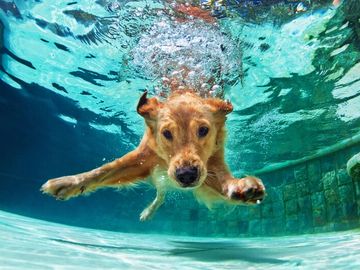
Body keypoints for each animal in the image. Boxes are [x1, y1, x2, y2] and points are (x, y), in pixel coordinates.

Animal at [40, 89, 266, 220]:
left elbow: (225, 181)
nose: (186, 175)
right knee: (161, 193)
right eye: (166, 133)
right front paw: (68, 183)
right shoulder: (142, 158)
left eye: (203, 130)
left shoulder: (211, 164)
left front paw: (243, 188)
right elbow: (104, 170)